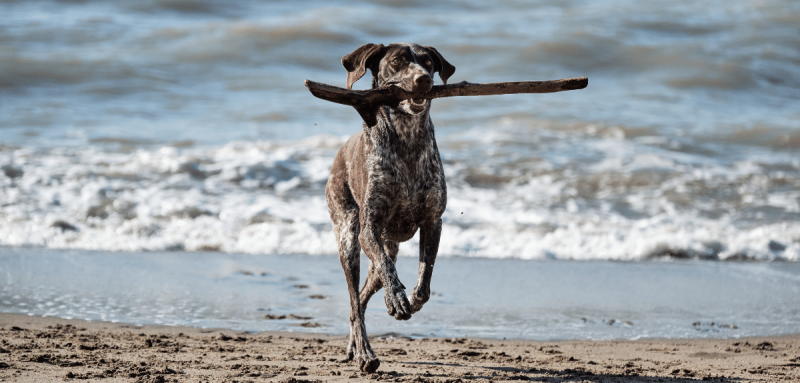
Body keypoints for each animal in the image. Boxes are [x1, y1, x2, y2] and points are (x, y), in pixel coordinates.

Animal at [324, 43, 456, 374]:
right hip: (349, 238)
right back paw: (365, 354)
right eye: (397, 61)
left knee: (361, 297)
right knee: (355, 302)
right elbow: (389, 272)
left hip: (385, 246)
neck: (407, 138)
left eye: (428, 62)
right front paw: (397, 299)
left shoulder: (433, 221)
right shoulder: (368, 229)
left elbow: (424, 280)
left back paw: (354, 347)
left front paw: (412, 299)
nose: (424, 80)